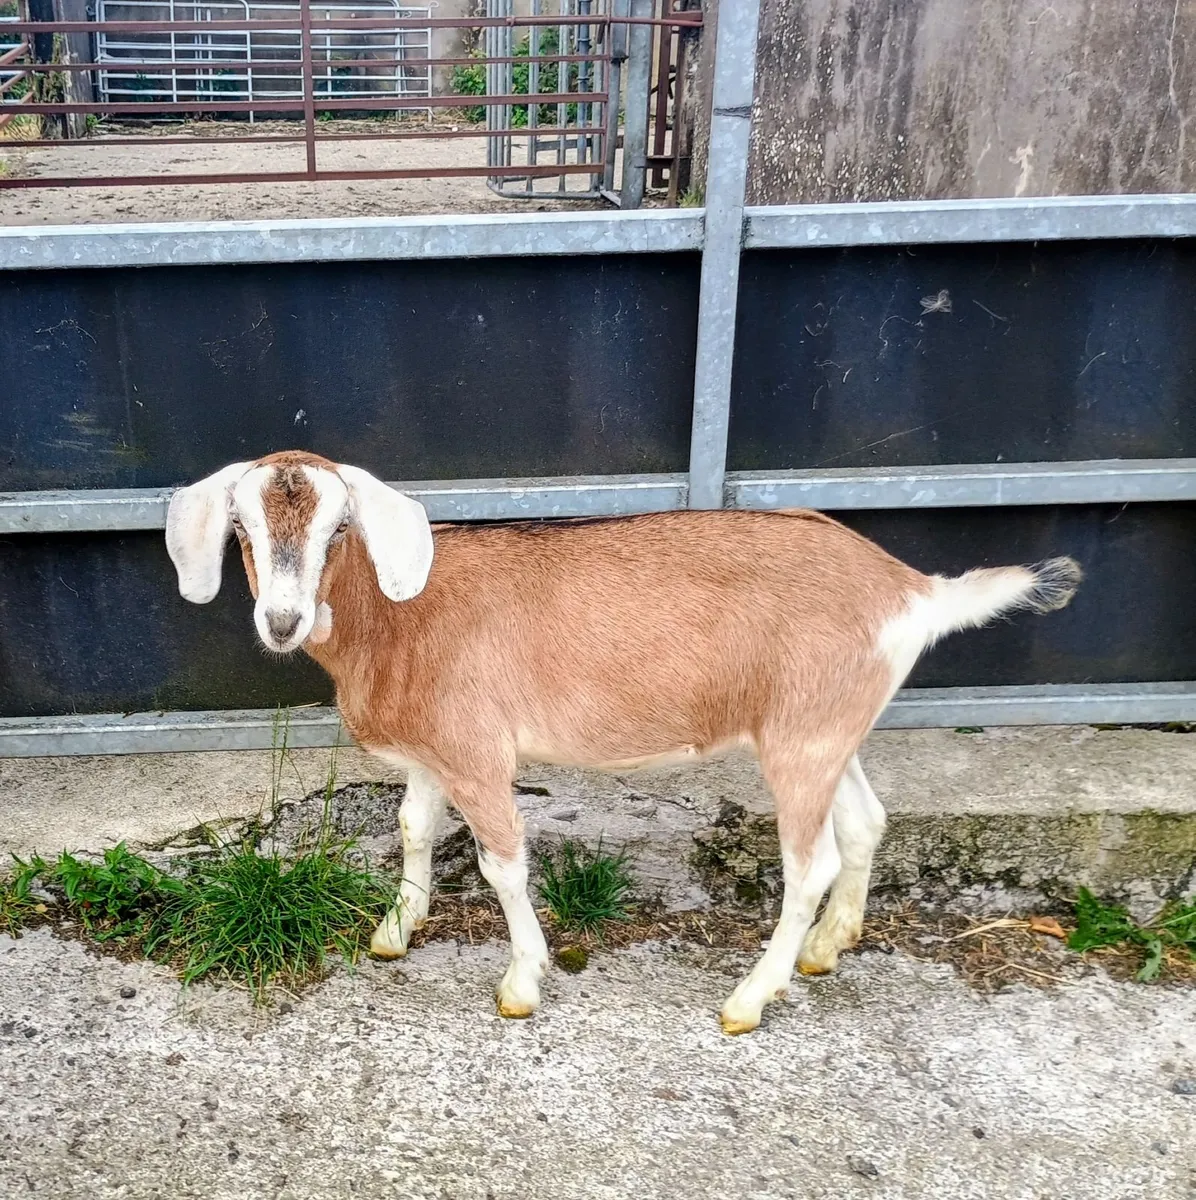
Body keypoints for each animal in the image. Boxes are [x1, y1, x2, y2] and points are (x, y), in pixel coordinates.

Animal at [165, 451, 1081, 1034]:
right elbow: (413, 830)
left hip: (802, 740)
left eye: (338, 531)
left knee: (810, 863)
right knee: (866, 821)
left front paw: (521, 983)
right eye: (241, 531)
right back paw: (827, 948)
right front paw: (395, 930)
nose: (282, 621)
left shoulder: (477, 752)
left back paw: (749, 1000)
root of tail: (911, 590)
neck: (401, 618)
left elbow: (502, 865)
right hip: (827, 727)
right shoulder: (434, 753)